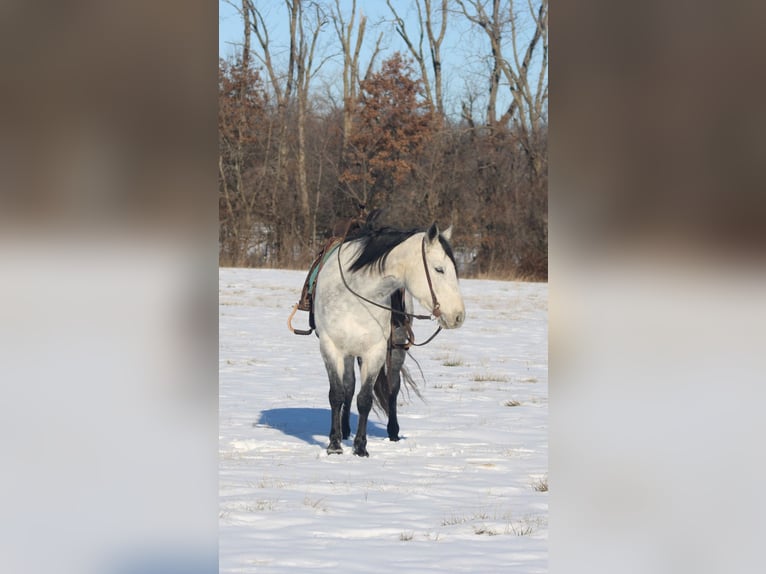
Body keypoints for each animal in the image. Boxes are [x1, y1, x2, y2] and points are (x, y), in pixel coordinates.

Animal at [314, 220, 468, 460]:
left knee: (392, 388)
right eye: (439, 269)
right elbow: (337, 394)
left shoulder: (375, 352)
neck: (357, 293)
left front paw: (360, 448)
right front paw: (335, 445)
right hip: (349, 353)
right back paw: (345, 429)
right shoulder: (331, 348)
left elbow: (365, 399)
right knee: (349, 387)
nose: (458, 316)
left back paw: (393, 433)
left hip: (396, 350)